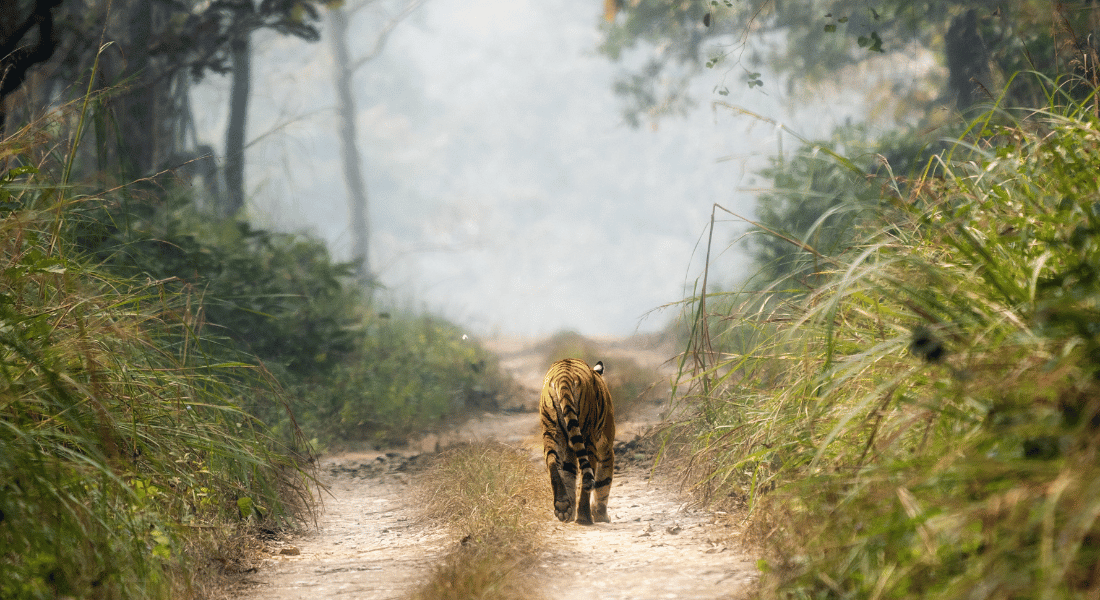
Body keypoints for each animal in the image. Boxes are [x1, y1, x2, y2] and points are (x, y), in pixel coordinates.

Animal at [536, 358, 616, 521]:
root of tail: (563, 376)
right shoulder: (606, 448)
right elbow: (604, 482)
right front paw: (601, 515)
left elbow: (568, 475)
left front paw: (570, 511)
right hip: (588, 436)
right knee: (589, 476)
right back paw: (585, 518)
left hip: (551, 431)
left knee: (552, 462)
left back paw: (562, 506)